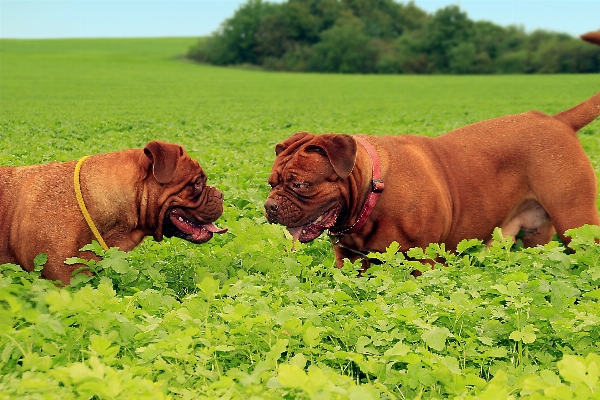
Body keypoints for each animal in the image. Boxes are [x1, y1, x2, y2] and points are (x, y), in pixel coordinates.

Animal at [264, 92, 600, 270]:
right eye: (271, 184)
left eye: (301, 185)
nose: (269, 207)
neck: (373, 194)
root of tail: (557, 121)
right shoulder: (350, 261)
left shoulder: (422, 261)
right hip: (535, 234)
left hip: (575, 220)